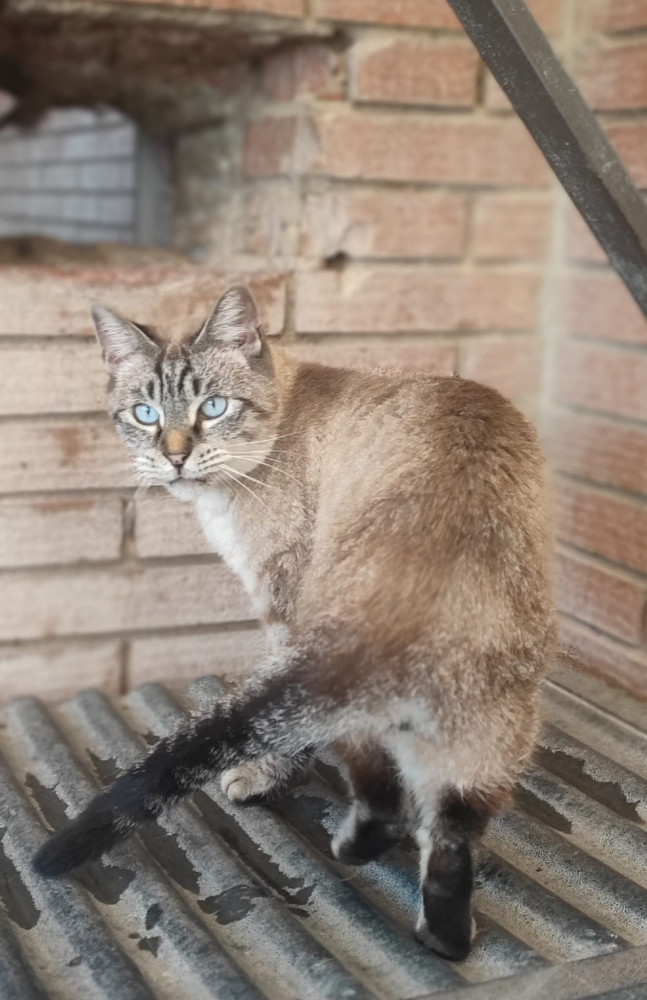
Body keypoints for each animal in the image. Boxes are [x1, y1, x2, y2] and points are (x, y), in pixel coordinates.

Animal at [33, 285, 556, 961]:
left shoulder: (280, 605)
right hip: (488, 732)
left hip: (337, 691)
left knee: (379, 793)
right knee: (449, 829)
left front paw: (258, 778)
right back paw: (443, 938)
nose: (173, 459)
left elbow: (274, 738)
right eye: (145, 414)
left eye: (213, 407)